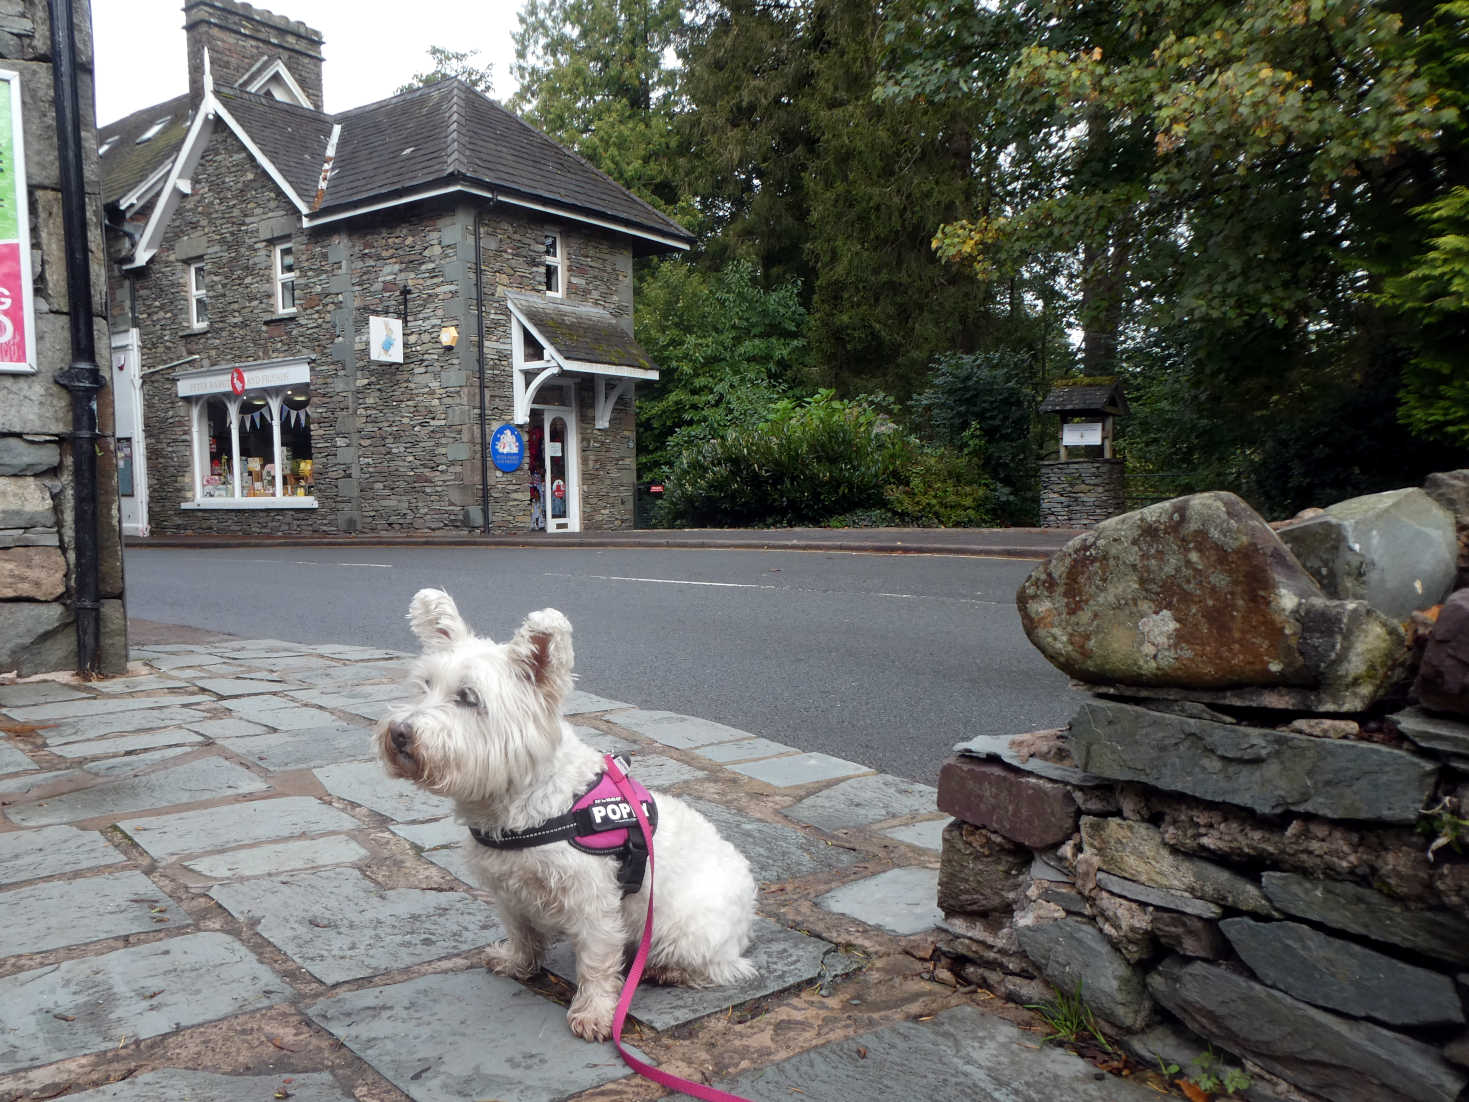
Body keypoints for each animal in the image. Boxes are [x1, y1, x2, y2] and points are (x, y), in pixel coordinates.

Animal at [379, 590, 758, 1040]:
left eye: (469, 698)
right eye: (424, 686)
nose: (399, 733)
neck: (525, 803)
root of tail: (749, 902)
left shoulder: (593, 901)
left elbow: (596, 962)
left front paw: (593, 1013)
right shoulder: (509, 891)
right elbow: (522, 932)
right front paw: (517, 963)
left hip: (686, 929)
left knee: (720, 966)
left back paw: (665, 969)